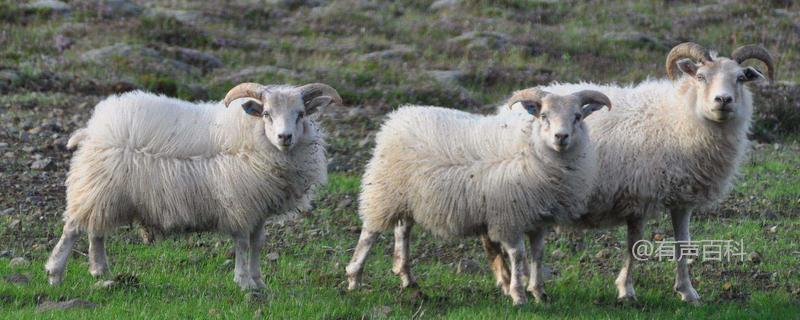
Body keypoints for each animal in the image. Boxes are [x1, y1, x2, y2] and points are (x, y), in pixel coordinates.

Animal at [44, 82, 340, 290]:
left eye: (300, 114)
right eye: (266, 113)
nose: (285, 136)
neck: (252, 138)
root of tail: (94, 128)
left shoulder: (258, 209)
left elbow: (257, 244)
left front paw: (258, 282)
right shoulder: (241, 205)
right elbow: (243, 244)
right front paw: (244, 282)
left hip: (107, 194)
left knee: (96, 230)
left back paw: (100, 271)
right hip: (95, 187)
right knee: (73, 228)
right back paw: (55, 273)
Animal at [344, 90, 612, 304]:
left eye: (577, 117)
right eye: (544, 116)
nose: (561, 137)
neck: (530, 148)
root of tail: (398, 116)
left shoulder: (538, 218)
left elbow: (538, 254)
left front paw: (539, 293)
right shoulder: (509, 217)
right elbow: (518, 255)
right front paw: (518, 294)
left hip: (408, 196)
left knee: (402, 230)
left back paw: (407, 278)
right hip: (384, 190)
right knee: (370, 233)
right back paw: (354, 278)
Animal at [494, 43, 776, 304]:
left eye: (740, 78)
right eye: (700, 76)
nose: (723, 100)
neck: (679, 118)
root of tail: (504, 110)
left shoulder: (682, 198)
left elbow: (682, 244)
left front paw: (687, 292)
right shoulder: (639, 196)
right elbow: (634, 245)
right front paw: (626, 291)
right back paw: (510, 283)